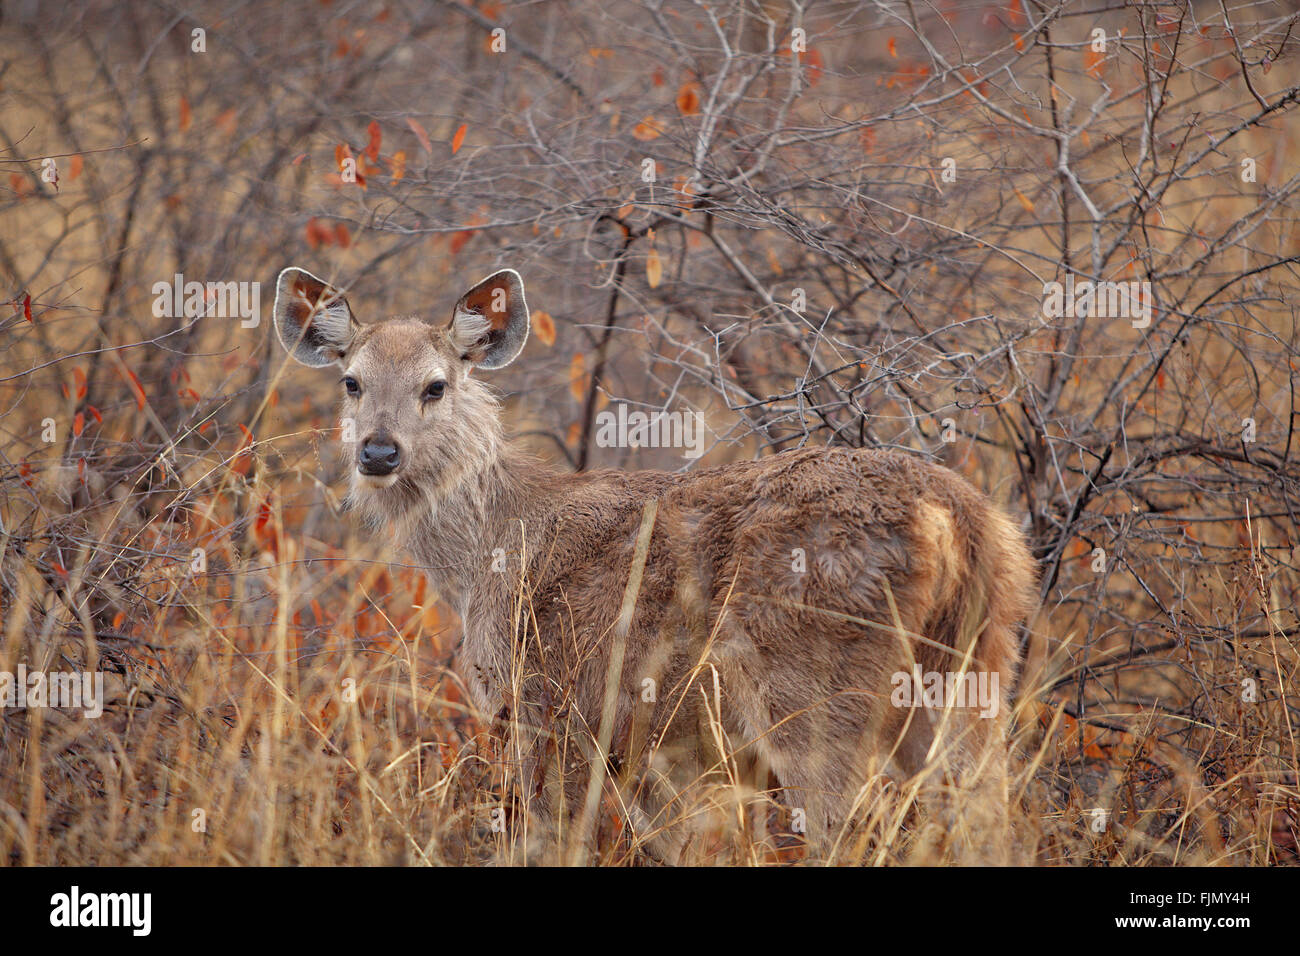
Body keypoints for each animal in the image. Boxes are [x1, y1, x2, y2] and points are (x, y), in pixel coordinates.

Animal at [271, 265, 1034, 863]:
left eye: (434, 385)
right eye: (351, 381)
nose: (377, 452)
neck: (489, 550)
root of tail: (958, 518)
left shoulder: (551, 707)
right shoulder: (644, 750)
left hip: (813, 691)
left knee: (847, 831)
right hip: (975, 667)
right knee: (985, 819)